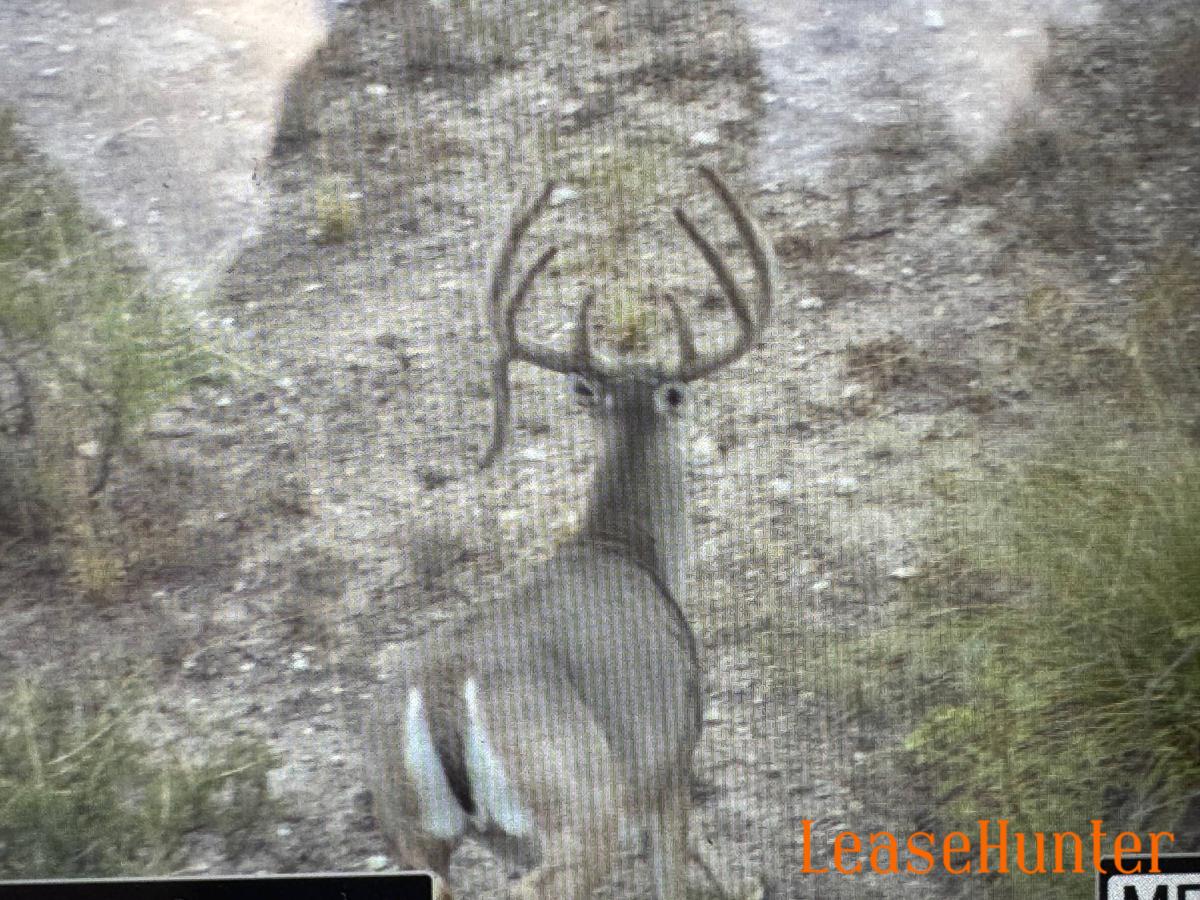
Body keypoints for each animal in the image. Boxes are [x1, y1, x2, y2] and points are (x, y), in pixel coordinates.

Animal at [365, 166, 775, 899]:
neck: (635, 554)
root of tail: (441, 694)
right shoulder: (670, 755)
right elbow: (673, 870)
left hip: (413, 828)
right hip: (577, 794)